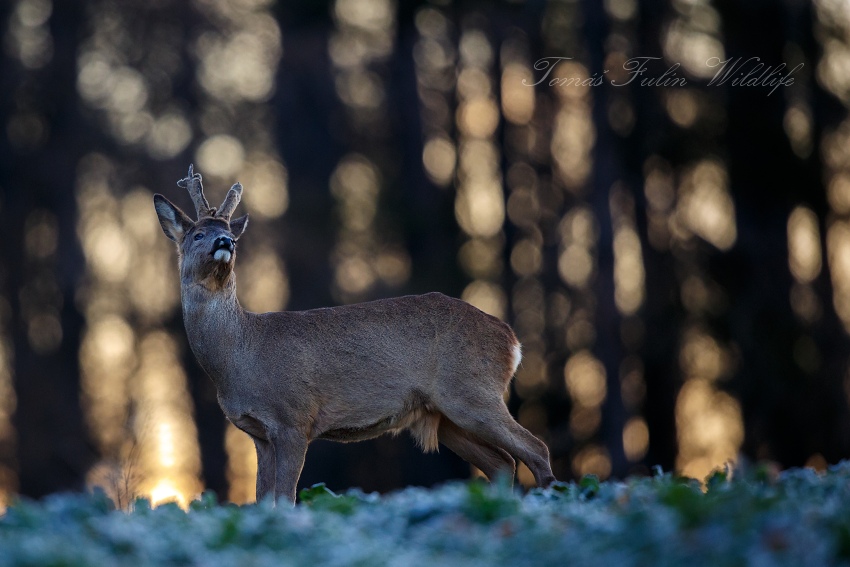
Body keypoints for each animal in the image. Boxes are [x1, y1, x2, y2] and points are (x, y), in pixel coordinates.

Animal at [153, 165, 557, 504]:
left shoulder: (294, 417)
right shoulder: (259, 433)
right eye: (197, 234)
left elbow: (286, 496)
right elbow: (262, 498)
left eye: (230, 235)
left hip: (472, 391)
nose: (225, 242)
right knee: (502, 462)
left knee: (536, 448)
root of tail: (512, 341)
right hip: (445, 415)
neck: (239, 356)